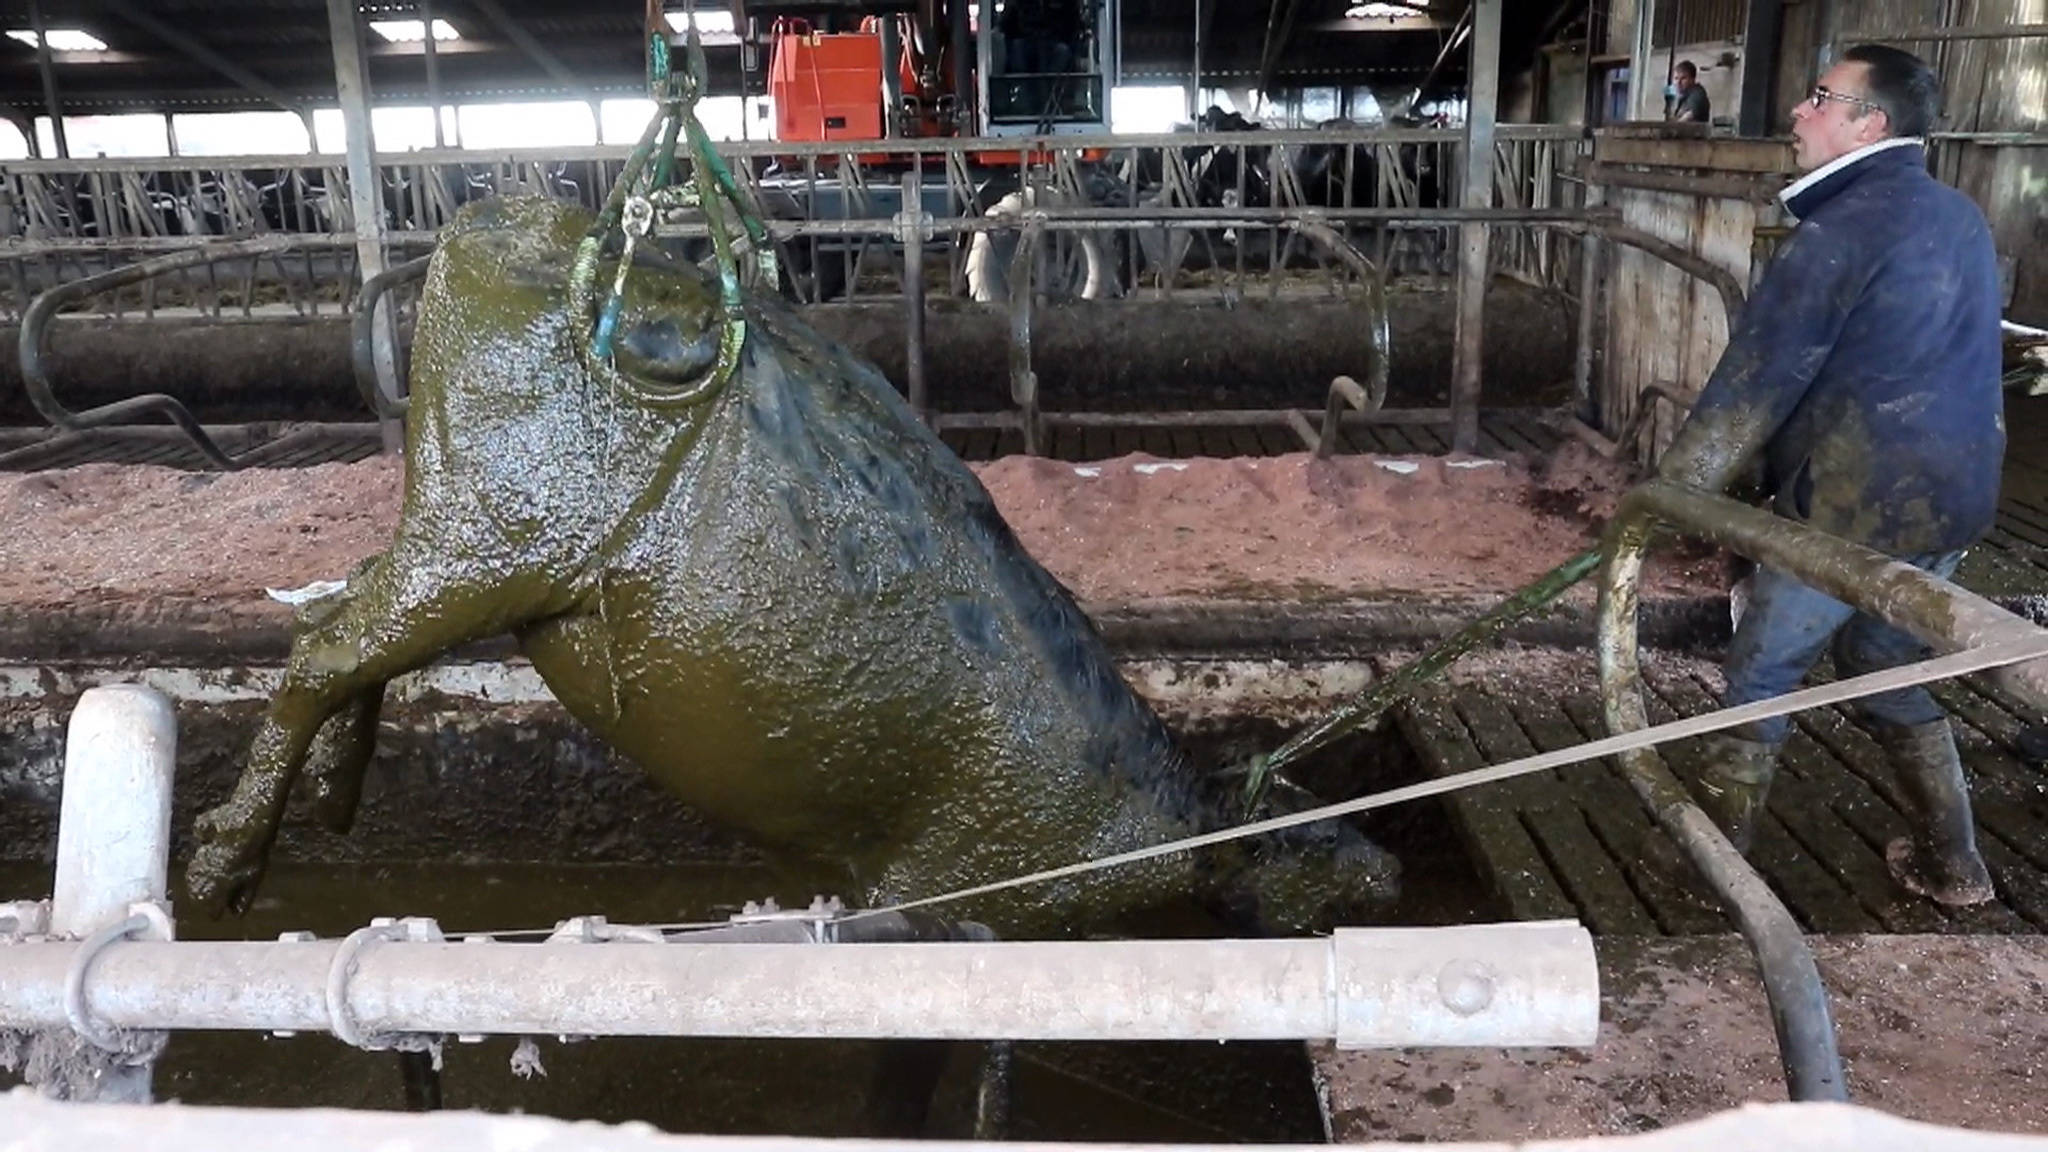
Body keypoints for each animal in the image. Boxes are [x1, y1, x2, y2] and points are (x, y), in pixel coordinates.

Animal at [185, 194, 1400, 939]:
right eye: (1321, 855)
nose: (1388, 880)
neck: (1181, 822)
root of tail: (494, 223)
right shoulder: (951, 893)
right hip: (486, 543)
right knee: (323, 646)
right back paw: (221, 866)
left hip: (456, 532)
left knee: (342, 616)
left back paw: (337, 801)